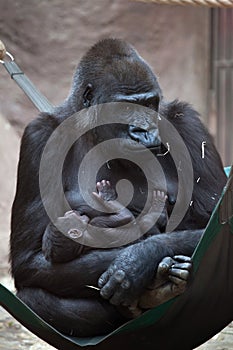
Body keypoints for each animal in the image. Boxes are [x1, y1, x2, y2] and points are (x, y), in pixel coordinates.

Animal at [10, 39, 227, 338]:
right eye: (124, 108)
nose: (144, 131)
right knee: (35, 298)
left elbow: (211, 220)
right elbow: (28, 260)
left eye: (150, 104)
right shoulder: (38, 137)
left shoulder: (187, 122)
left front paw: (138, 261)